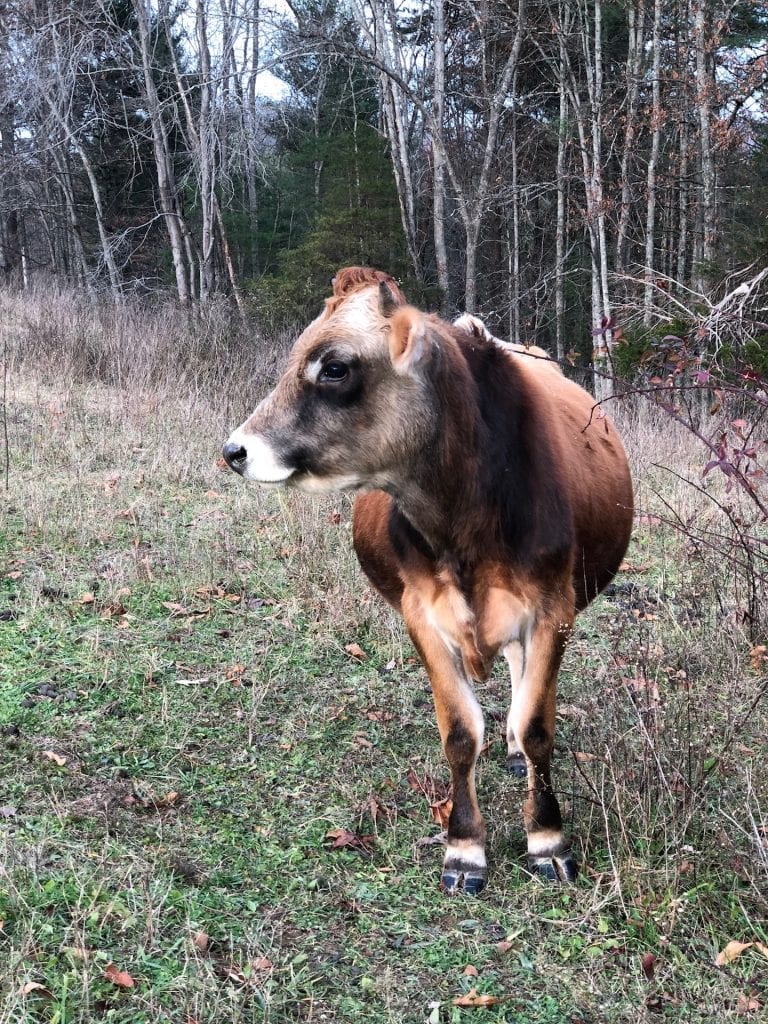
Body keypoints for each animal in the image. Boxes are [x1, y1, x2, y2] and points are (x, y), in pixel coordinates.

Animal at [222, 268, 630, 892]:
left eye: (334, 367)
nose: (234, 450)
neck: (466, 519)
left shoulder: (553, 608)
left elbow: (538, 726)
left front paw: (547, 838)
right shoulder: (423, 611)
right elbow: (460, 732)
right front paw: (464, 848)